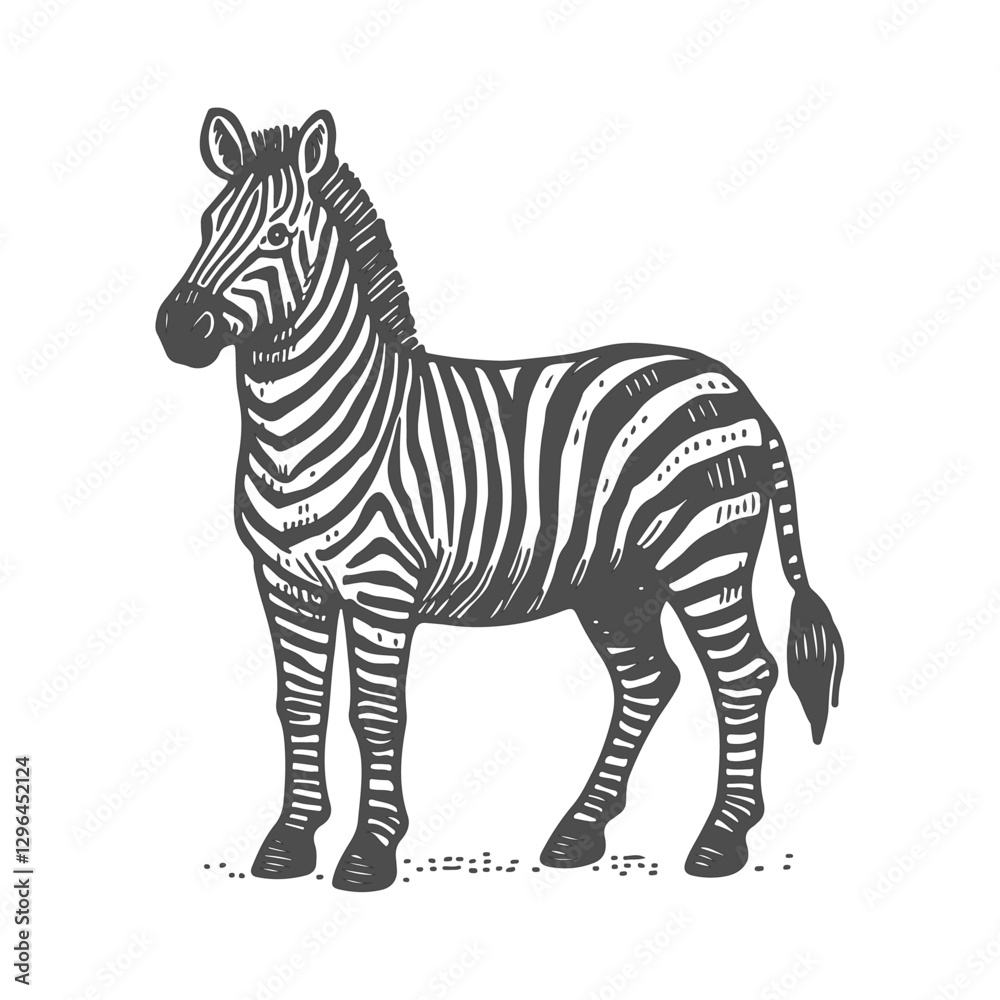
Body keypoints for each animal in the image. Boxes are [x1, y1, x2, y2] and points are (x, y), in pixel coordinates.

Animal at [156, 108, 844, 891]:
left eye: (276, 235)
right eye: (206, 224)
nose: (179, 328)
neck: (302, 429)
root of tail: (739, 391)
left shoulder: (380, 584)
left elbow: (376, 713)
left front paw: (370, 851)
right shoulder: (283, 582)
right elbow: (298, 706)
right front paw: (289, 842)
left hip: (705, 557)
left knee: (742, 676)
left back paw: (721, 840)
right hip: (617, 581)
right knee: (649, 679)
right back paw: (579, 832)